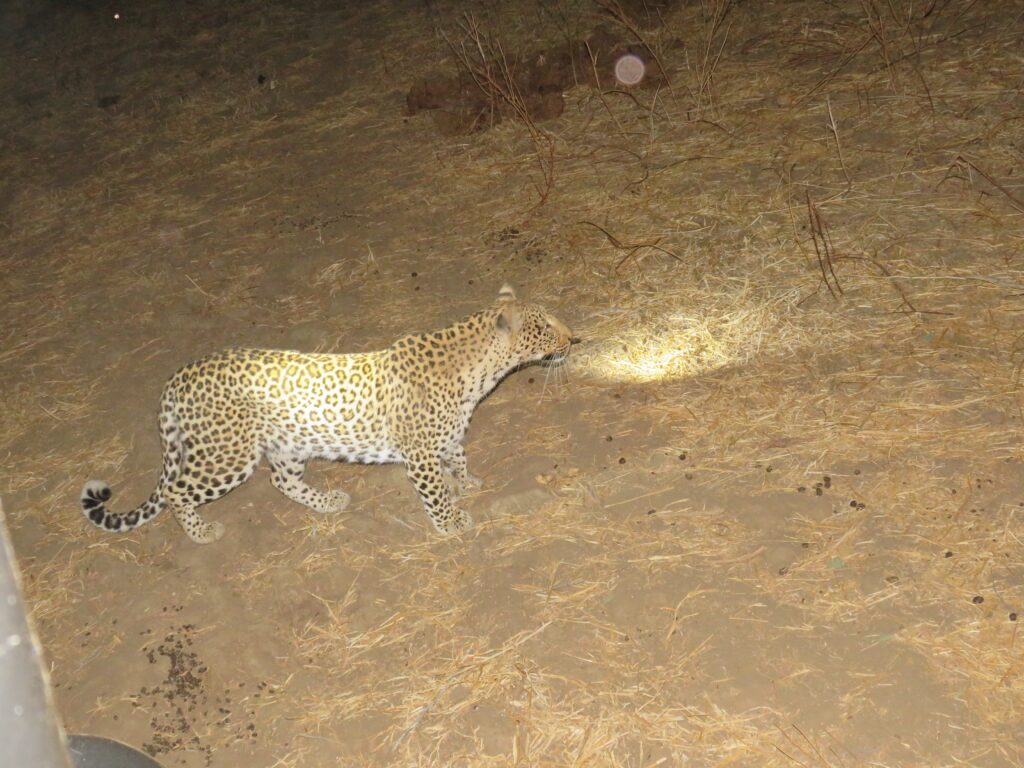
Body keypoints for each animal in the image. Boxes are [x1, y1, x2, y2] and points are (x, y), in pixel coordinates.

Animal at [80, 285, 573, 544]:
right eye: (545, 325)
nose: (575, 339)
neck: (480, 372)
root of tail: (179, 376)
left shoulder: (448, 437)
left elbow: (458, 460)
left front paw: (467, 484)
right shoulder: (418, 454)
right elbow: (434, 491)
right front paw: (451, 522)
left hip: (287, 445)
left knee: (282, 481)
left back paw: (328, 503)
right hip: (228, 455)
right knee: (177, 490)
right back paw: (202, 532)